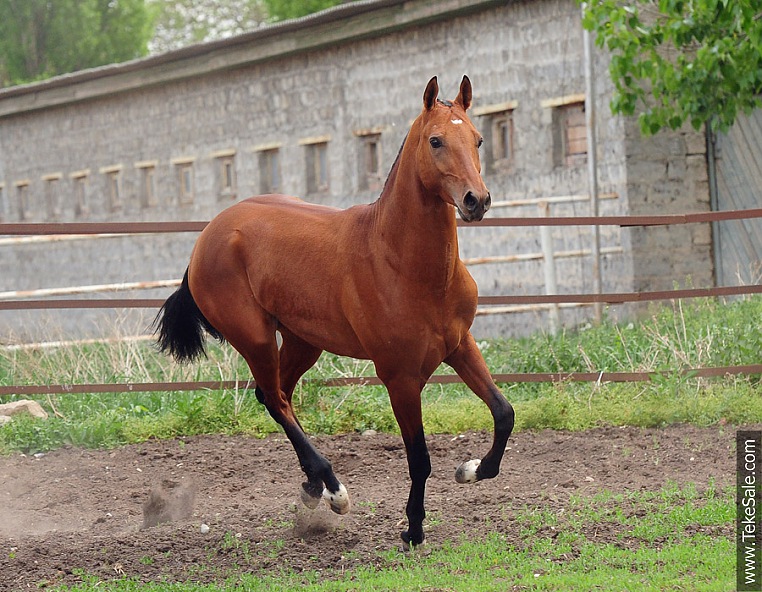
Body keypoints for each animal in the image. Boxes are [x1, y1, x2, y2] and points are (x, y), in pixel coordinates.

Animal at [157, 76, 516, 548]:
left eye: (477, 139)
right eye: (435, 140)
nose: (477, 200)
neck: (403, 263)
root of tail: (208, 235)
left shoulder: (460, 346)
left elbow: (504, 414)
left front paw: (471, 470)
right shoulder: (399, 376)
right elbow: (419, 457)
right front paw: (413, 528)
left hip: (302, 341)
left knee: (275, 396)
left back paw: (314, 488)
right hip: (255, 338)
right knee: (275, 398)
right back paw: (334, 489)